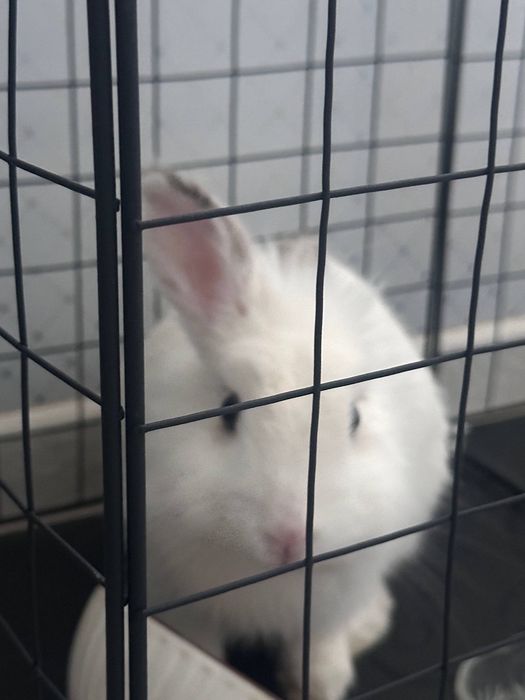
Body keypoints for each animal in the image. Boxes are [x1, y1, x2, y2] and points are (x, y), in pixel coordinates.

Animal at [142, 172, 450, 700]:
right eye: (228, 410)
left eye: (354, 420)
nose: (288, 538)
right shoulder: (180, 595)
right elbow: (200, 649)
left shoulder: (333, 598)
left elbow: (319, 645)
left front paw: (322, 683)